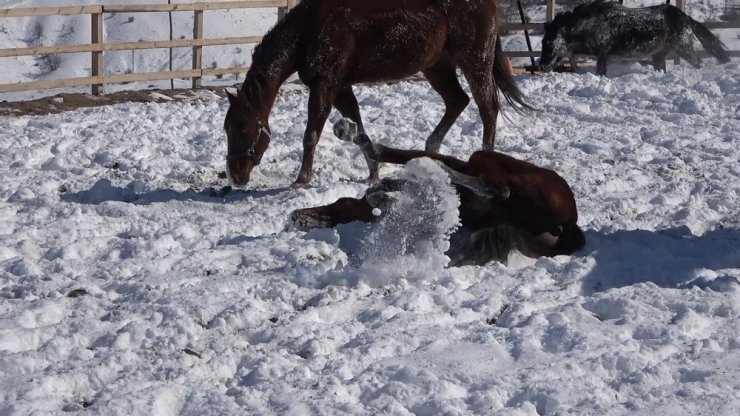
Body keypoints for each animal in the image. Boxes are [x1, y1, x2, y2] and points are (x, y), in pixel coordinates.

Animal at [223, 0, 528, 188]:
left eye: (242, 127)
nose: (235, 175)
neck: (309, 31)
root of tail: (489, 5)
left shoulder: (325, 85)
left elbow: (311, 135)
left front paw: (302, 178)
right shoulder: (340, 87)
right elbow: (358, 128)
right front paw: (374, 171)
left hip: (475, 63)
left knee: (487, 109)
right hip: (437, 67)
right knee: (457, 101)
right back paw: (431, 148)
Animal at [290, 119, 584, 266]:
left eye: (340, 202)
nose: (295, 217)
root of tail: (571, 221)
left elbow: (392, 155)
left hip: (484, 158)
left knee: (498, 189)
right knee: (496, 192)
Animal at [536, 0, 732, 75]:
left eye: (549, 42)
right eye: (542, 41)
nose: (542, 66)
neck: (594, 22)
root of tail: (685, 17)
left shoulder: (602, 53)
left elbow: (600, 71)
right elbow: (572, 54)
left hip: (683, 47)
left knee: (698, 62)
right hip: (660, 53)